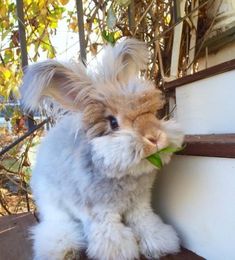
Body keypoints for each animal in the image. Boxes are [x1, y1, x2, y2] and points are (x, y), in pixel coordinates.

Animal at [20, 38, 184, 260]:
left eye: (152, 114)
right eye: (113, 123)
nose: (155, 137)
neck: (122, 175)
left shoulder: (139, 205)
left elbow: (145, 222)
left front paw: (159, 243)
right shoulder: (98, 212)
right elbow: (110, 233)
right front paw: (119, 252)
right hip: (51, 203)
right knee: (56, 225)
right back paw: (63, 249)